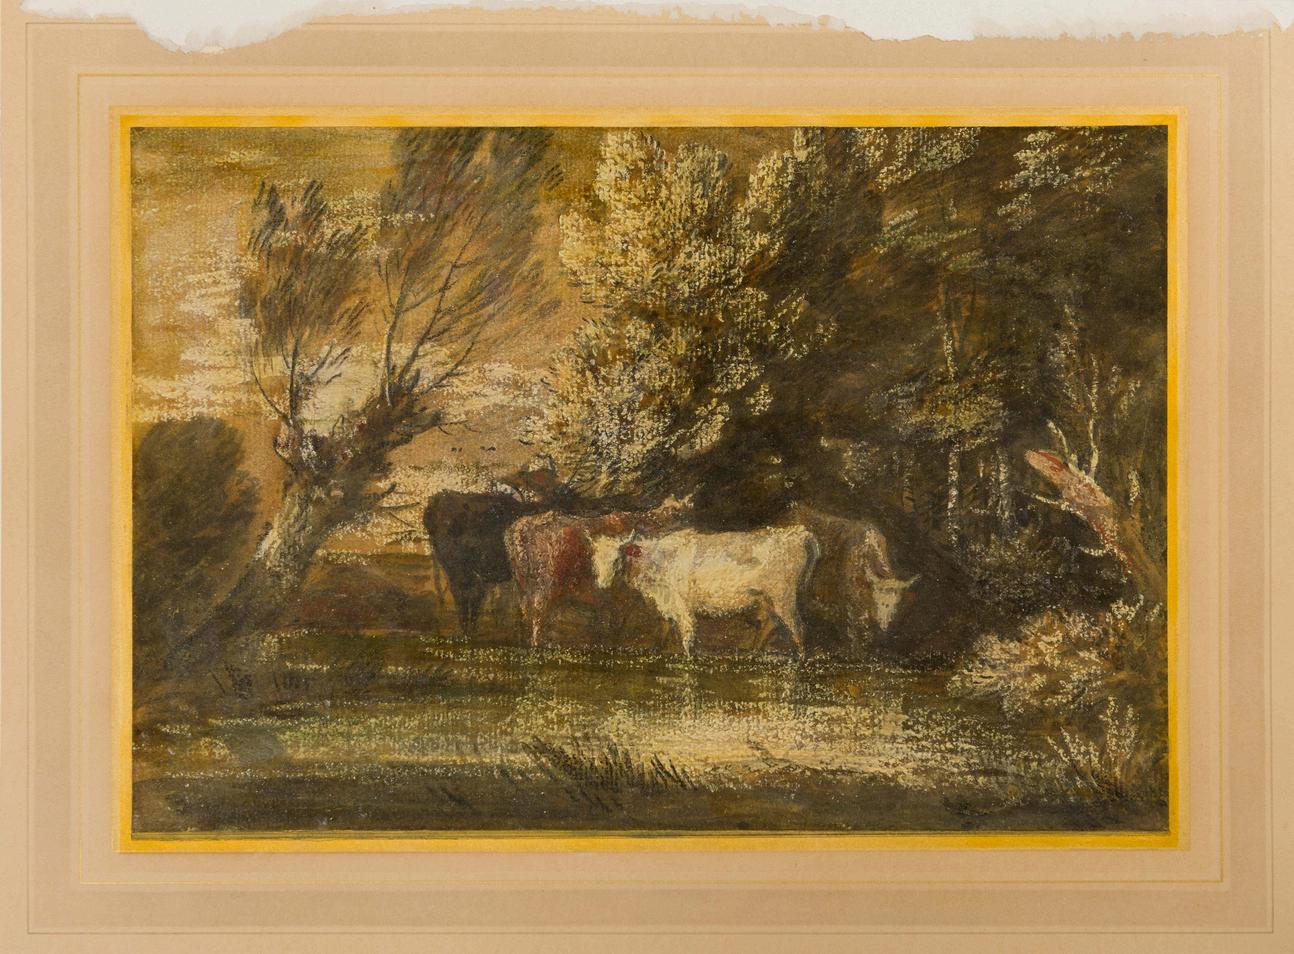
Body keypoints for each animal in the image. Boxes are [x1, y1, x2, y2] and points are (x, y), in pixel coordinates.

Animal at [504, 496, 691, 647]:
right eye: (676, 514)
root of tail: (522, 525)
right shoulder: (617, 595)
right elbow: (615, 626)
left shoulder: (606, 597)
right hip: (546, 585)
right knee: (538, 615)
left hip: (524, 585)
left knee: (526, 612)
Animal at [589, 526, 819, 659]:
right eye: (595, 560)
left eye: (616, 558)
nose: (602, 584)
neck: (657, 561)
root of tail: (796, 534)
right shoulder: (666, 604)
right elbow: (663, 632)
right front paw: (657, 652)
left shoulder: (682, 605)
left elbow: (687, 636)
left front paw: (689, 661)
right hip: (767, 598)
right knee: (769, 624)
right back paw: (751, 653)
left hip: (783, 597)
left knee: (798, 628)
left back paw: (799, 660)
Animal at [784, 502, 919, 651]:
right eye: (878, 602)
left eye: (895, 603)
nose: (884, 625)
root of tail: (796, 508)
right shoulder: (849, 603)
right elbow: (854, 630)